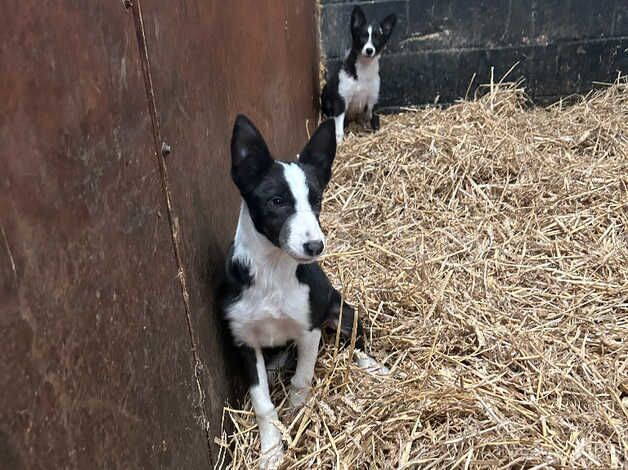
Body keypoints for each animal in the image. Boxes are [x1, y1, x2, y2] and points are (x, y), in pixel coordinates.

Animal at [223, 115, 386, 468]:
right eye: (276, 202)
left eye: (317, 201)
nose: (315, 246)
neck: (274, 272)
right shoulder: (244, 342)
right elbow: (263, 404)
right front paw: (271, 451)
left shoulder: (309, 330)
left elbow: (301, 381)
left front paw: (297, 418)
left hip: (342, 312)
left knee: (354, 343)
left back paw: (374, 366)